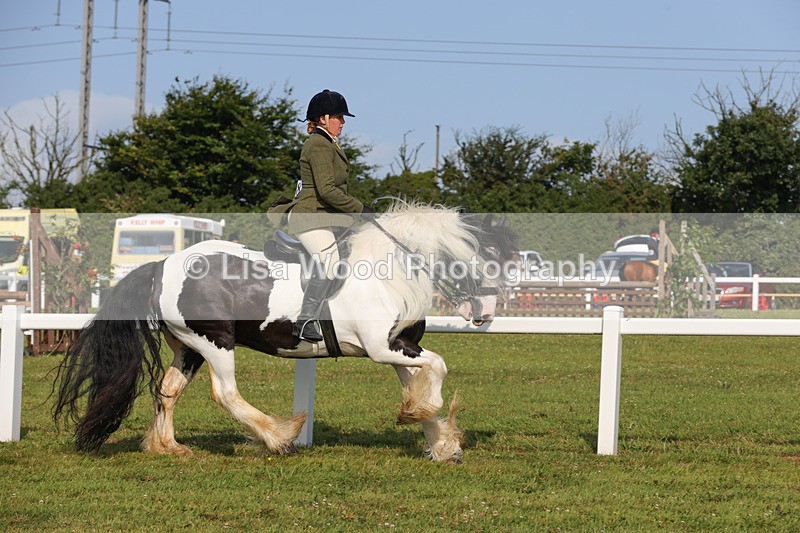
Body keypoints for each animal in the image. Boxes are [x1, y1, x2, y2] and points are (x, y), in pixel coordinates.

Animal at [52, 200, 517, 463]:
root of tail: (162, 265)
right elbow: (439, 368)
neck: (391, 271)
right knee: (226, 394)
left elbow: (423, 380)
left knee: (168, 391)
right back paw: (280, 439)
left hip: (189, 346)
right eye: (488, 259)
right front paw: (423, 420)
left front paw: (438, 439)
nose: (487, 313)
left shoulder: (400, 346)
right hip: (214, 341)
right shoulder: (382, 347)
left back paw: (168, 447)